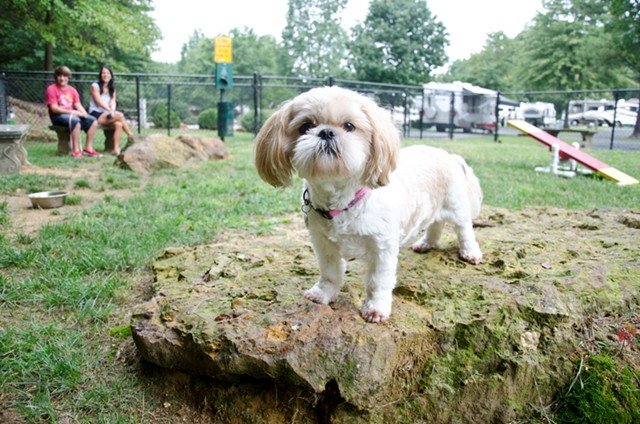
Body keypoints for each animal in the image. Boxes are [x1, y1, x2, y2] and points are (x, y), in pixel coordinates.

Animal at [254, 88, 480, 322]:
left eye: (349, 126)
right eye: (305, 126)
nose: (326, 132)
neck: (344, 201)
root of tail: (447, 155)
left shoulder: (382, 247)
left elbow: (378, 281)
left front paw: (375, 308)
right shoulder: (323, 243)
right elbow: (330, 272)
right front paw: (323, 293)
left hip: (456, 205)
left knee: (464, 229)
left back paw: (470, 252)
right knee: (436, 223)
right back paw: (428, 243)